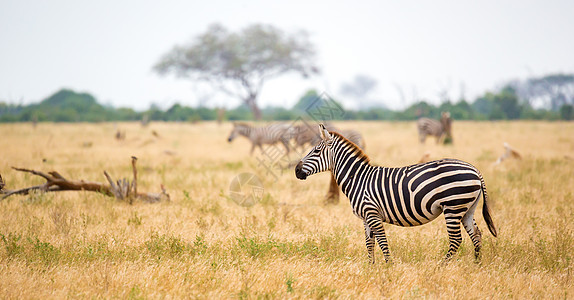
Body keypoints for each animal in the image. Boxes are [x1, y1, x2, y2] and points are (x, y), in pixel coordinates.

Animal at [294, 124, 498, 262]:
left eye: (316, 150)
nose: (296, 170)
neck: (357, 178)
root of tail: (474, 169)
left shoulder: (373, 214)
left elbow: (382, 242)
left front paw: (388, 267)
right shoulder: (366, 217)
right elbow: (369, 244)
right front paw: (371, 268)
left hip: (453, 206)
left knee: (456, 239)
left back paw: (441, 266)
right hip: (467, 208)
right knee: (476, 234)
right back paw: (476, 265)